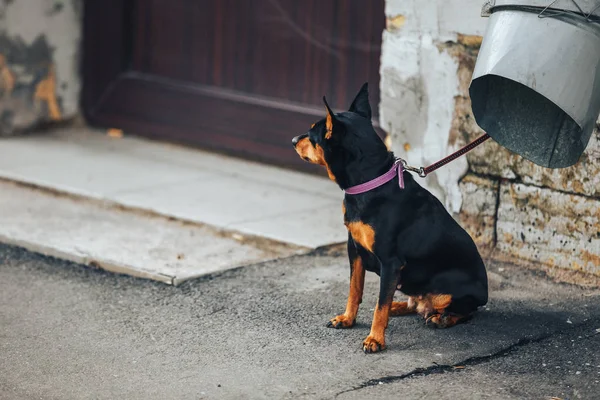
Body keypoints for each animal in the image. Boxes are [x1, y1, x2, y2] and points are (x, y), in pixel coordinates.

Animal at [290, 83, 488, 352]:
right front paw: (348, 319)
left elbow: (379, 305)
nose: (292, 140)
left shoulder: (391, 262)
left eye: (312, 135)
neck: (370, 183)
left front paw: (375, 339)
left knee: (464, 311)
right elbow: (355, 290)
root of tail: (484, 293)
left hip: (449, 289)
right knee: (415, 303)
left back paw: (442, 318)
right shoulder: (355, 250)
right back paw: (401, 306)